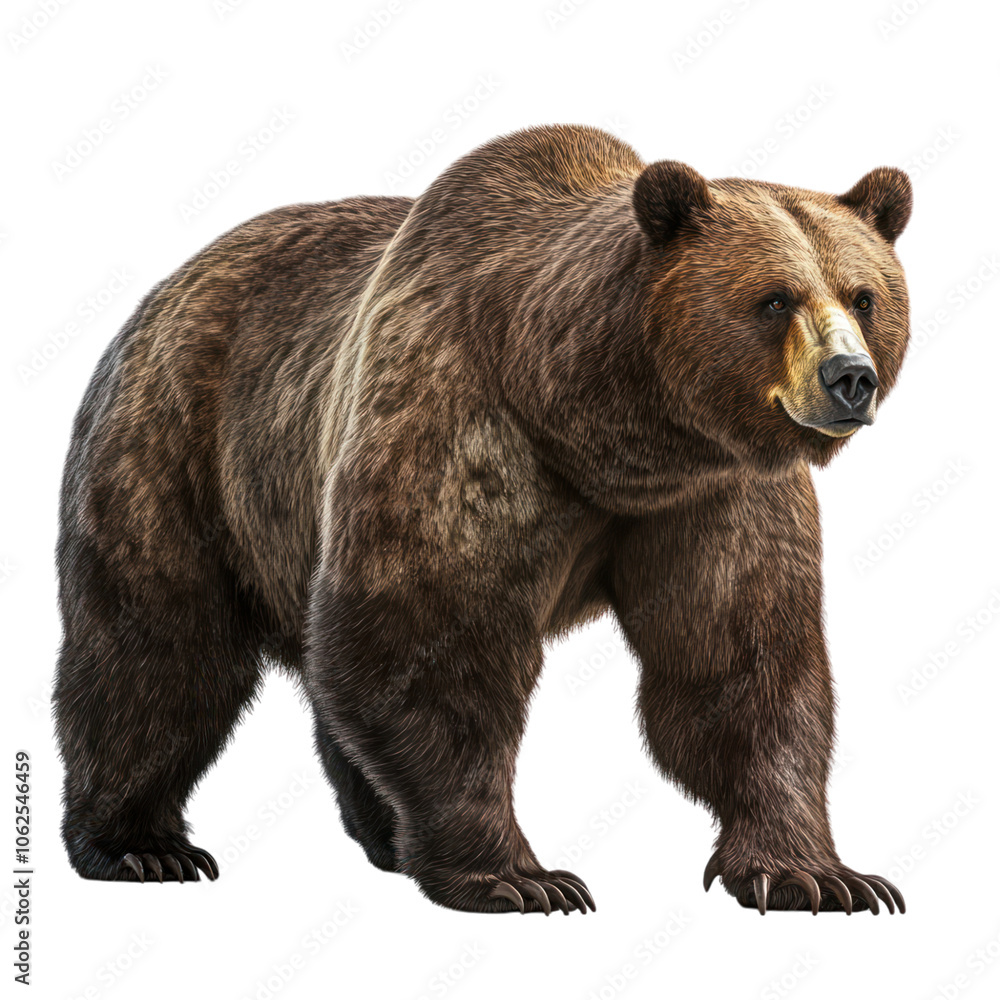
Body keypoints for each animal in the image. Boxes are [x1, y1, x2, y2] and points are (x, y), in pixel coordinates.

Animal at [54, 123, 912, 915]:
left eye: (864, 296)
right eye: (774, 298)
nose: (850, 378)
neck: (612, 429)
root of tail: (168, 286)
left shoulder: (713, 492)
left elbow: (739, 662)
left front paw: (816, 875)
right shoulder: (463, 419)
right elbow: (431, 642)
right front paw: (522, 877)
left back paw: (380, 833)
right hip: (180, 447)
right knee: (160, 650)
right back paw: (138, 845)